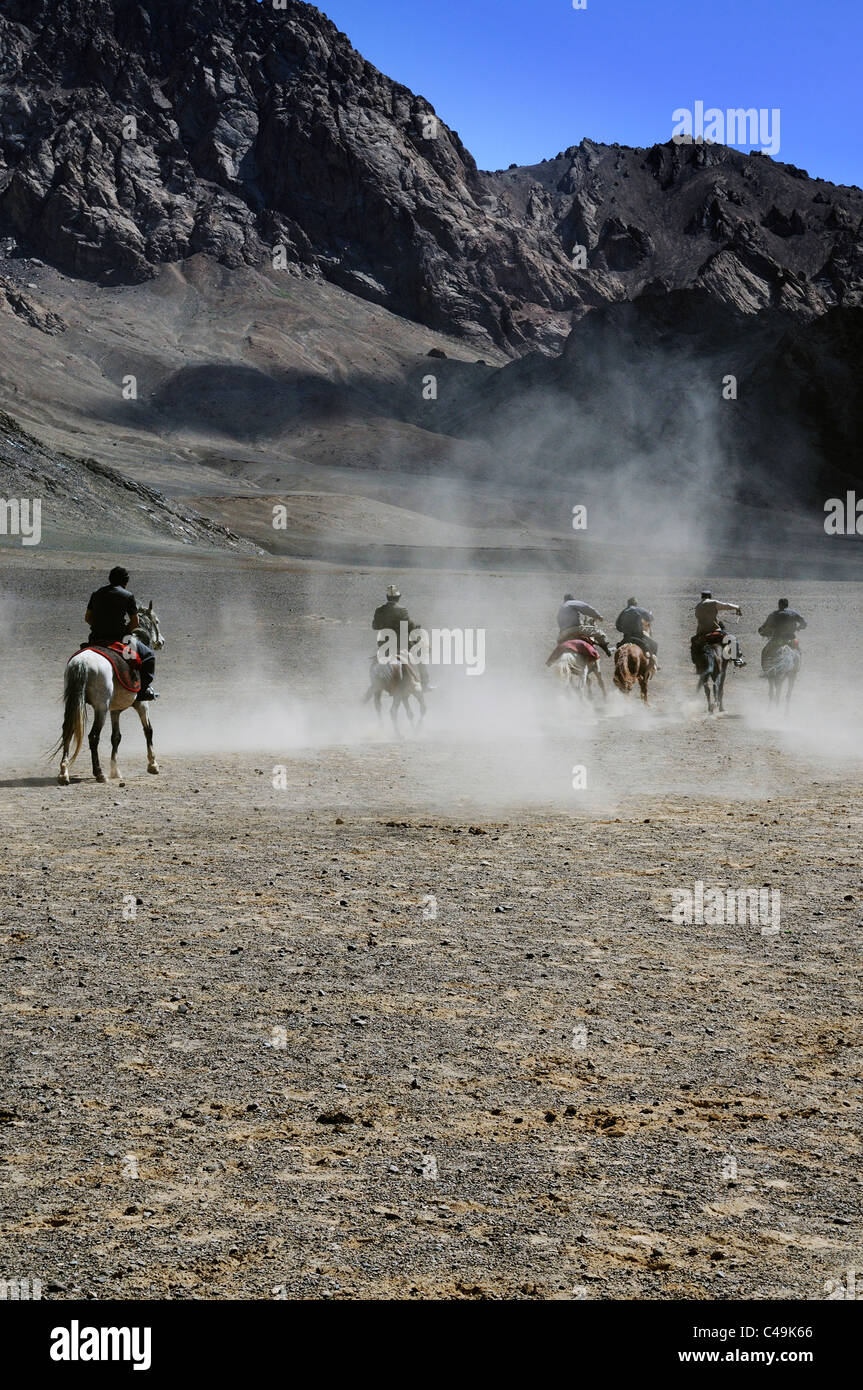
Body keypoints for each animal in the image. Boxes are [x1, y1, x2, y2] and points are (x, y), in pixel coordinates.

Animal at [55, 606, 163, 789]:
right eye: (156, 621)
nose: (161, 641)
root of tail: (82, 663)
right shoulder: (142, 704)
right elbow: (148, 730)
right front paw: (152, 764)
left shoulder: (115, 710)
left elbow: (116, 737)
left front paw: (115, 770)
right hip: (101, 708)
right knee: (93, 737)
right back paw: (99, 773)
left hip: (74, 703)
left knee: (68, 731)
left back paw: (64, 773)